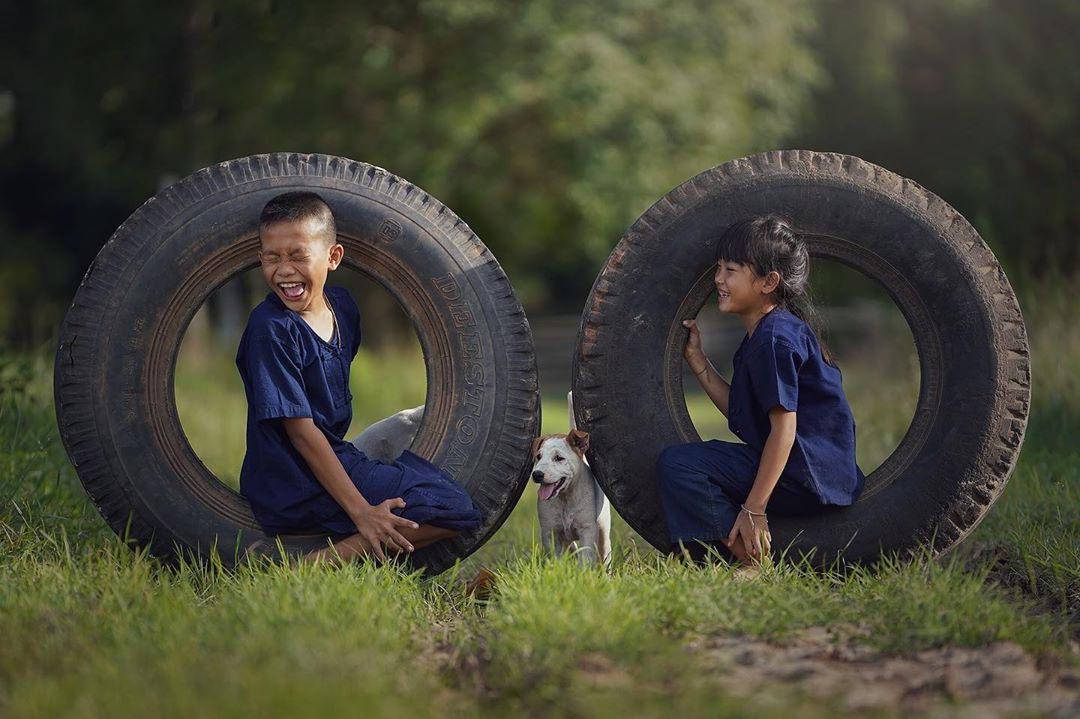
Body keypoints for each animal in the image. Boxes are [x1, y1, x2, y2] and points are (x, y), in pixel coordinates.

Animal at [533, 392, 613, 565]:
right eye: (538, 457)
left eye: (559, 458)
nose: (537, 474)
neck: (566, 498)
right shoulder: (550, 533)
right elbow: (554, 558)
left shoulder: (587, 530)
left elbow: (586, 557)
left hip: (603, 530)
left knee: (605, 553)